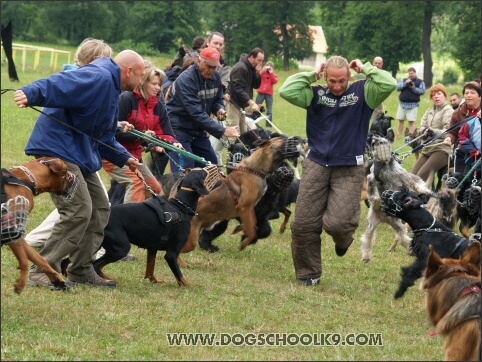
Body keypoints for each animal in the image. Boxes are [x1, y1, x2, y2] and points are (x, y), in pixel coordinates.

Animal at [0, 158, 76, 294]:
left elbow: (38, 258)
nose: (75, 177)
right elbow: (24, 260)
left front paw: (57, 279)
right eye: (67, 171)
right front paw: (21, 283)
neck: (26, 179)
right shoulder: (11, 231)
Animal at [360, 134, 432, 262]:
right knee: (367, 239)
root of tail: (384, 218)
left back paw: (410, 250)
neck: (384, 164)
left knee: (403, 237)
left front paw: (425, 190)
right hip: (371, 224)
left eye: (382, 141)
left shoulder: (403, 175)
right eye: (373, 143)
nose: (375, 139)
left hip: (397, 225)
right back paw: (366, 256)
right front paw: (377, 202)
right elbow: (374, 195)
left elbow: (416, 181)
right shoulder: (371, 179)